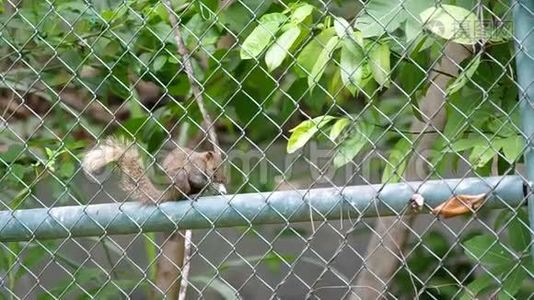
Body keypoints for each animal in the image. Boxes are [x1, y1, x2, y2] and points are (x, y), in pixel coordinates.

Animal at [82, 138, 227, 204]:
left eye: (224, 167)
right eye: (214, 168)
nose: (222, 180)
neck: (203, 161)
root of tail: (168, 193)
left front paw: (218, 188)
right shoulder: (194, 166)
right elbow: (195, 178)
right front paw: (211, 184)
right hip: (180, 178)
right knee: (180, 196)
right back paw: (190, 196)